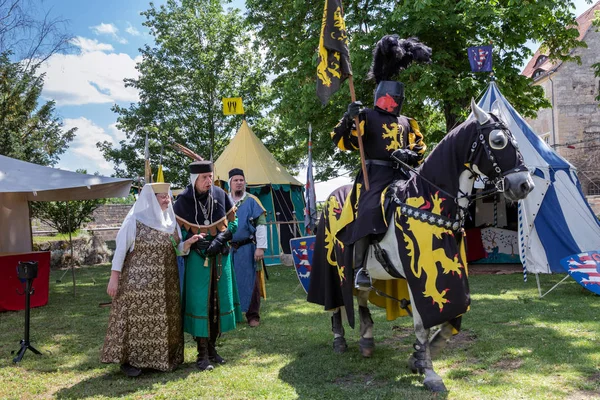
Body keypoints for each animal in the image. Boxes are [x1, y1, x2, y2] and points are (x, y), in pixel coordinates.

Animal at [310, 98, 536, 392]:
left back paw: (367, 338)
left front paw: (421, 355)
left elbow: (453, 316)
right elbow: (422, 324)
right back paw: (339, 337)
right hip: (332, 266)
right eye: (498, 140)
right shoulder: (418, 276)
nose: (525, 185)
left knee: (361, 295)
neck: (429, 199)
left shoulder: (451, 275)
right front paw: (428, 371)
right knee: (336, 302)